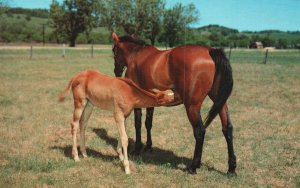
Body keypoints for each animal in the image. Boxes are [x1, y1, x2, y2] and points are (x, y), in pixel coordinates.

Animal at [111, 32, 236, 175]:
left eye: (114, 50)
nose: (116, 72)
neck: (136, 55)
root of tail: (210, 51)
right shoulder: (149, 100)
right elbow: (148, 123)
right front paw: (148, 147)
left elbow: (138, 124)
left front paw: (137, 149)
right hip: (220, 102)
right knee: (227, 129)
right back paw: (231, 168)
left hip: (192, 107)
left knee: (200, 131)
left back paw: (193, 166)